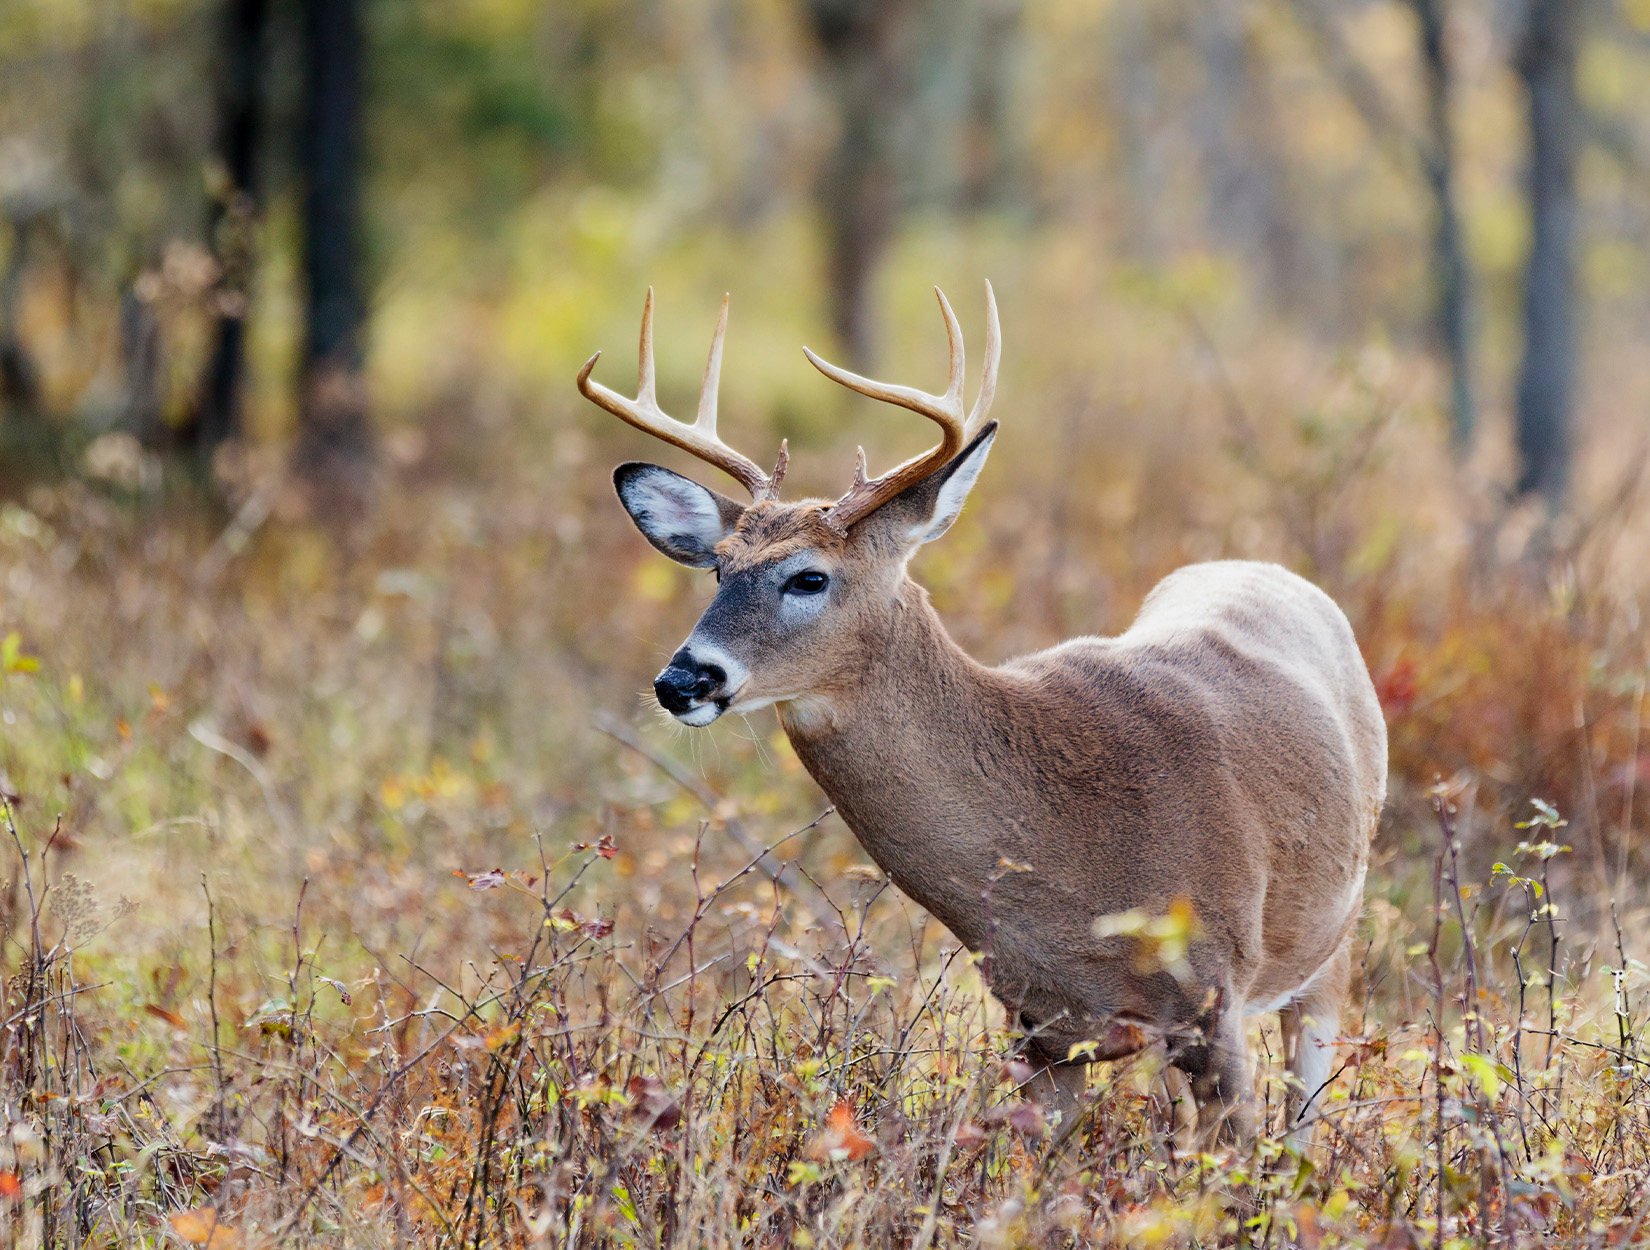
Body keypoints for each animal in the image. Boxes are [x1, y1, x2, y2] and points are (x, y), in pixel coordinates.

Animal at [574, 281, 1386, 1147]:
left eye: (809, 577)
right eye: (719, 569)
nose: (681, 680)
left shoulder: (1215, 994)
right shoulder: (1040, 1028)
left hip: (1332, 943)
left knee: (1303, 1119)